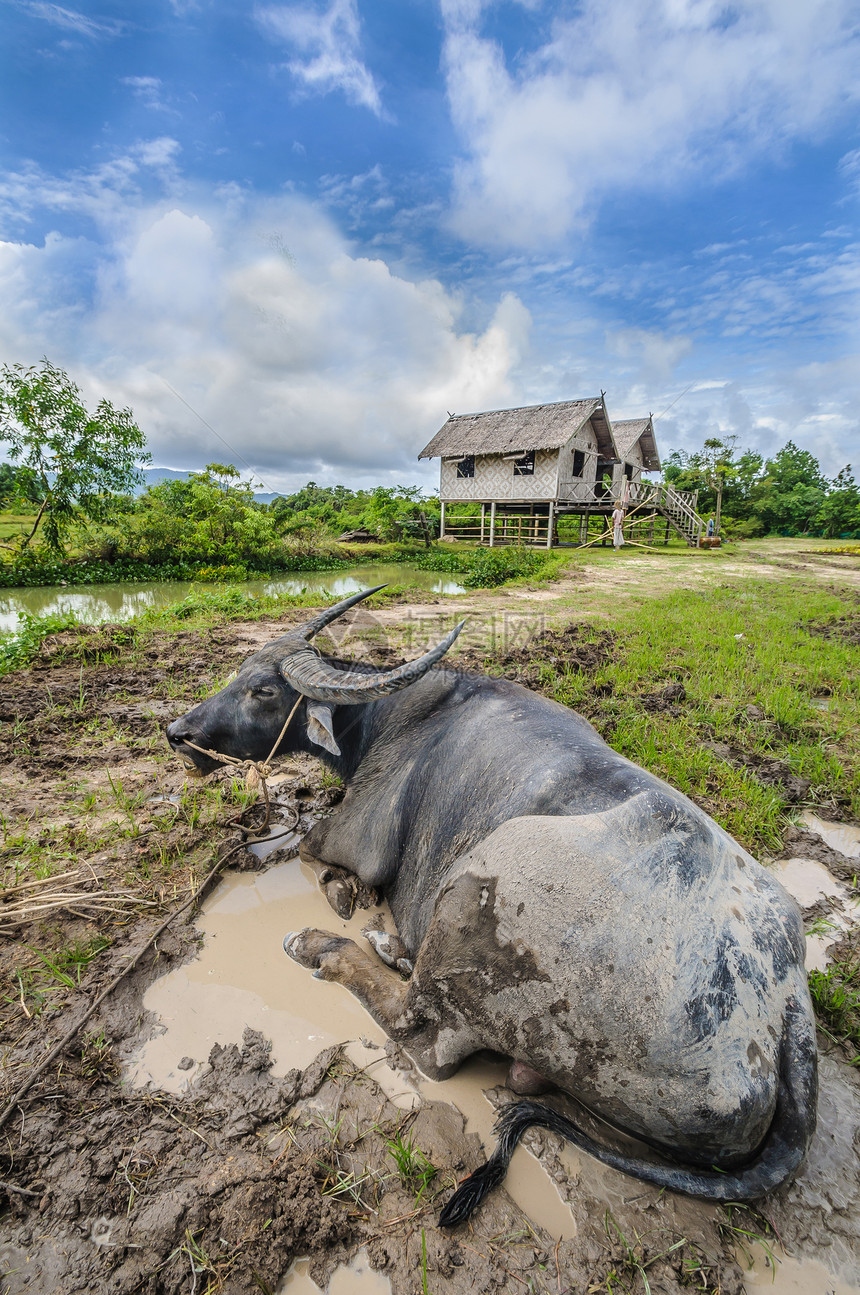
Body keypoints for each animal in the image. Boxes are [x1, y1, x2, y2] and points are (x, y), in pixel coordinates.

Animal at [164, 587, 818, 1222]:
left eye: (264, 689)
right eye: (237, 673)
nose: (178, 733)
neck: (383, 722)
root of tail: (786, 1005)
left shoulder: (353, 835)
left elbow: (308, 843)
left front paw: (338, 892)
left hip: (478, 892)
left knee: (423, 1032)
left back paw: (322, 946)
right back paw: (391, 946)